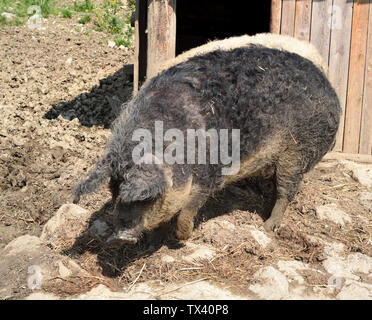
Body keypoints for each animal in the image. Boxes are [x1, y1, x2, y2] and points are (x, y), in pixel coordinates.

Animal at [72, 45, 340, 244]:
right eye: (113, 190)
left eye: (145, 198)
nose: (121, 236)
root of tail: (329, 88)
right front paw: (156, 239)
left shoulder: (210, 175)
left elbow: (188, 210)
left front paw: (183, 238)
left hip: (299, 150)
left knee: (286, 190)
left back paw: (267, 227)